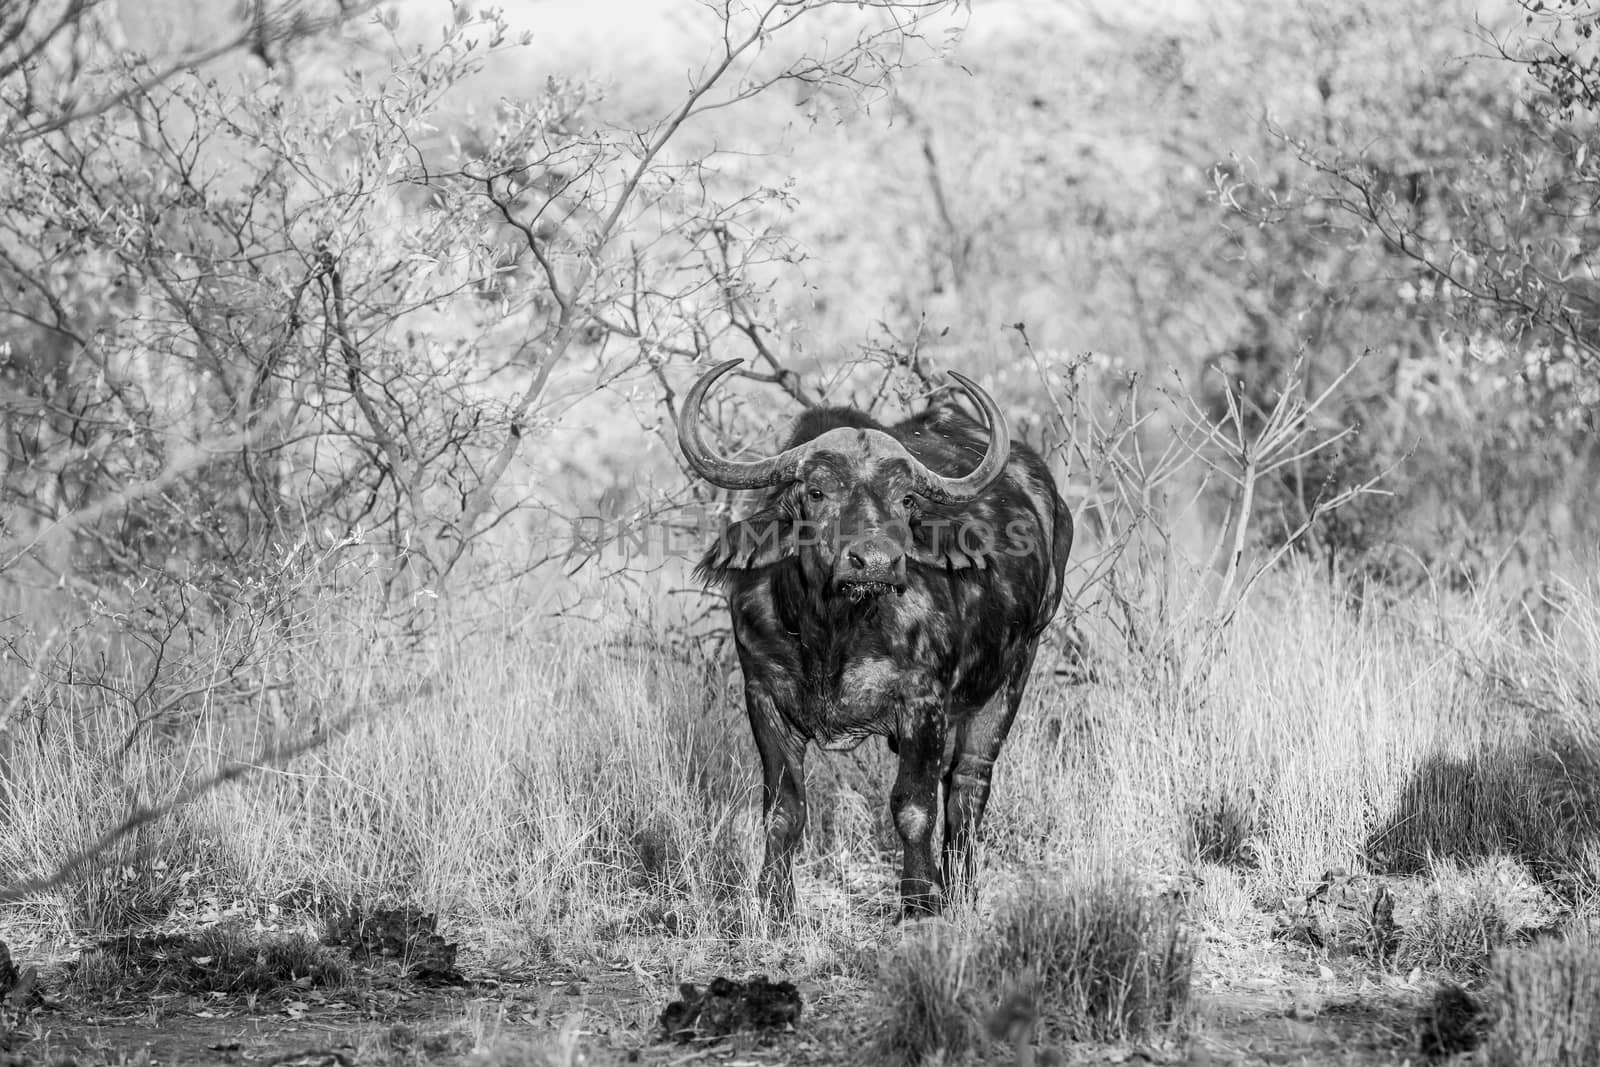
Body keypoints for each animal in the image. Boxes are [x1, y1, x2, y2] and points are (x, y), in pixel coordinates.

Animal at [678, 358, 1075, 921]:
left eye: (905, 499)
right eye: (816, 492)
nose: (876, 562)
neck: (833, 631)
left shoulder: (923, 704)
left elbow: (912, 807)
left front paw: (918, 901)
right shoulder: (763, 696)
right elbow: (783, 809)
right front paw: (775, 905)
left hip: (1014, 670)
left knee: (968, 783)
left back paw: (958, 889)